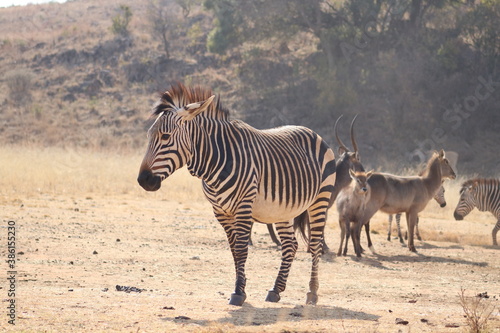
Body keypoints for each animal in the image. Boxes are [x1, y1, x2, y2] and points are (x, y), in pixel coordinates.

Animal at [137, 84, 336, 304]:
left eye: (165, 137)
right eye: (148, 136)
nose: (143, 180)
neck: (215, 162)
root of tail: (313, 132)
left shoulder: (243, 205)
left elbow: (241, 248)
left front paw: (238, 292)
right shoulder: (220, 211)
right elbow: (233, 249)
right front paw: (241, 286)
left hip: (320, 200)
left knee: (315, 244)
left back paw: (312, 292)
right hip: (282, 209)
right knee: (290, 245)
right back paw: (276, 290)